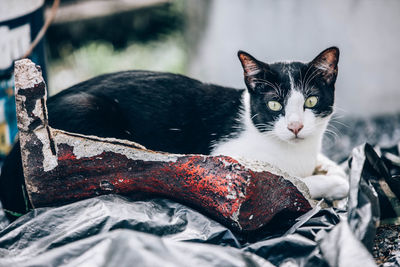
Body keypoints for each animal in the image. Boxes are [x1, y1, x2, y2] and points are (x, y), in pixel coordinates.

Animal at [0, 46, 346, 218]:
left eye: (311, 101)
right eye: (275, 104)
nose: (296, 126)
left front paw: (336, 169)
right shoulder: (233, 165)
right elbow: (294, 183)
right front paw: (333, 184)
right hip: (88, 110)